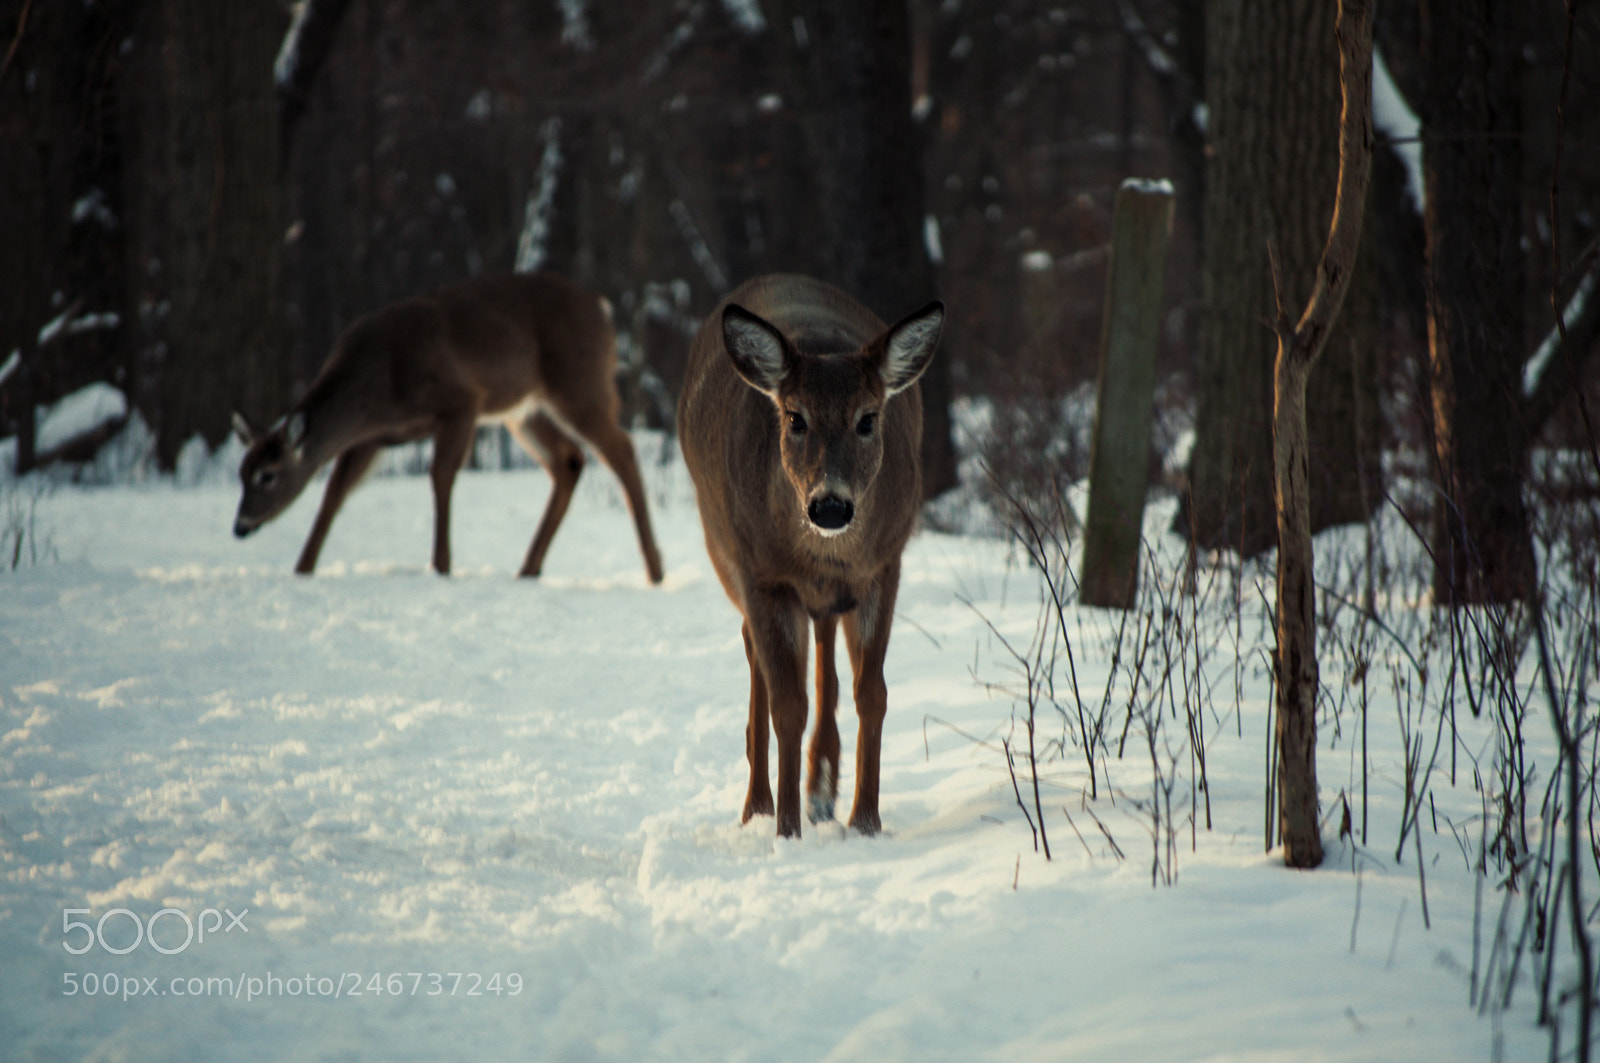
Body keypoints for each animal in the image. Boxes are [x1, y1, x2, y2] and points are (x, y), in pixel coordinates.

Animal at [232, 271, 664, 584]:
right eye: (241, 473)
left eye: (268, 475)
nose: (239, 527)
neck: (380, 382)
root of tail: (603, 307)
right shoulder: (371, 437)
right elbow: (334, 493)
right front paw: (302, 569)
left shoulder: (461, 401)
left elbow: (440, 475)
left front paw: (441, 565)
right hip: (524, 411)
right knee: (569, 460)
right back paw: (529, 568)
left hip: (580, 385)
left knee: (622, 451)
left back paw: (654, 569)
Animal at [678, 274, 944, 838]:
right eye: (795, 418)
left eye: (868, 418)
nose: (830, 505)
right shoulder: (763, 575)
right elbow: (787, 706)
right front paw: (786, 830)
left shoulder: (884, 566)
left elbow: (873, 693)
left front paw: (865, 821)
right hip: (724, 550)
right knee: (754, 652)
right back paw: (758, 805)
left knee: (823, 643)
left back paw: (823, 787)